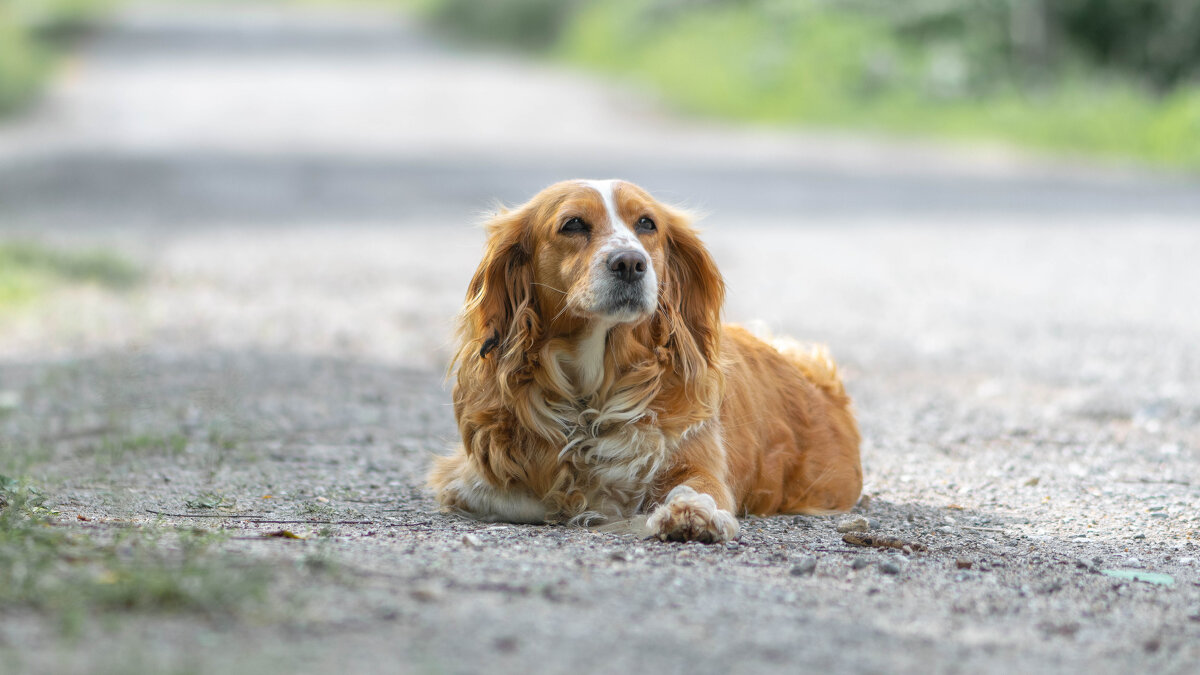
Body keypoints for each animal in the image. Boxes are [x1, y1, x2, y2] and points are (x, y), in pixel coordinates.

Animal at [427, 178, 859, 540]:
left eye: (647, 224)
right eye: (573, 224)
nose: (630, 262)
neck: (593, 388)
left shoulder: (701, 460)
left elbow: (697, 487)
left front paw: (690, 511)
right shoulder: (468, 476)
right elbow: (537, 497)